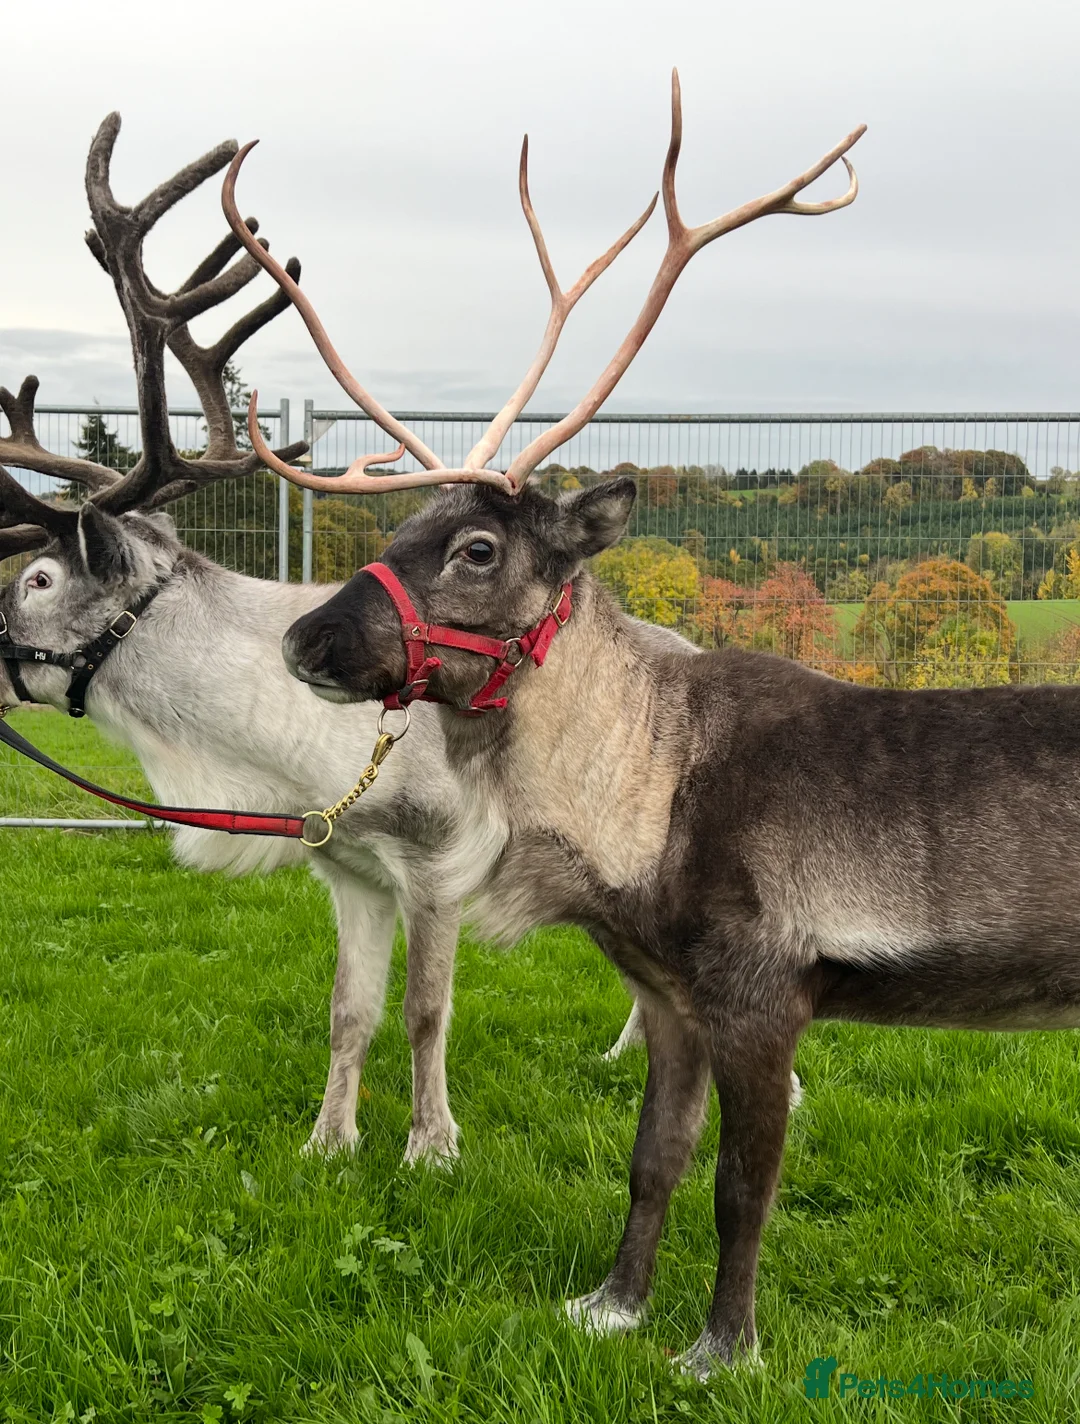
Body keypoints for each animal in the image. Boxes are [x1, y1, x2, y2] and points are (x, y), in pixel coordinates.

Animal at [225, 71, 863, 1373]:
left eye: (477, 546)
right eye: (402, 526)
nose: (303, 638)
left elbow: (431, 1015)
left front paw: (430, 1146)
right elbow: (355, 1012)